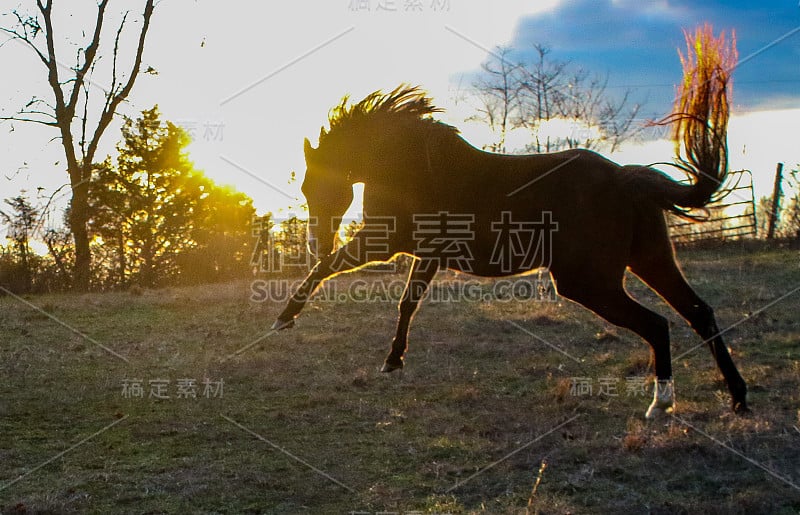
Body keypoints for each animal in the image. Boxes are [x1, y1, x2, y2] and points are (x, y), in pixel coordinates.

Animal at [272, 84, 748, 422]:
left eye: (314, 185)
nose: (316, 239)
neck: (412, 165)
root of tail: (627, 178)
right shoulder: (427, 254)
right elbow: (408, 302)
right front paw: (393, 360)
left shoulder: (384, 242)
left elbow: (327, 269)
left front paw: (284, 318)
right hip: (650, 260)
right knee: (698, 313)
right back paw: (736, 398)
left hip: (589, 282)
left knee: (658, 324)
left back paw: (661, 403)